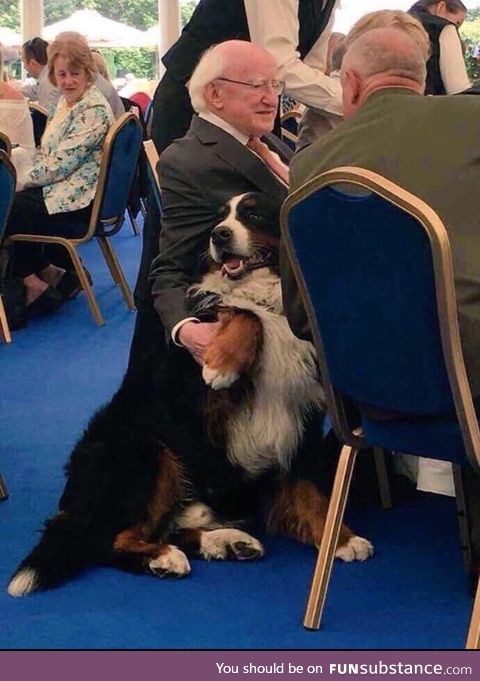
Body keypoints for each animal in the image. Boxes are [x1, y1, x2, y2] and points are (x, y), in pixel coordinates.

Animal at [8, 191, 376, 596]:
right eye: (218, 219)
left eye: (252, 214)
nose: (219, 235)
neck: (269, 295)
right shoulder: (208, 403)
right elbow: (242, 313)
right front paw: (223, 363)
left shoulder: (303, 417)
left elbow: (311, 490)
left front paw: (342, 539)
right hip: (141, 446)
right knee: (107, 541)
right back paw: (164, 558)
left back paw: (228, 542)